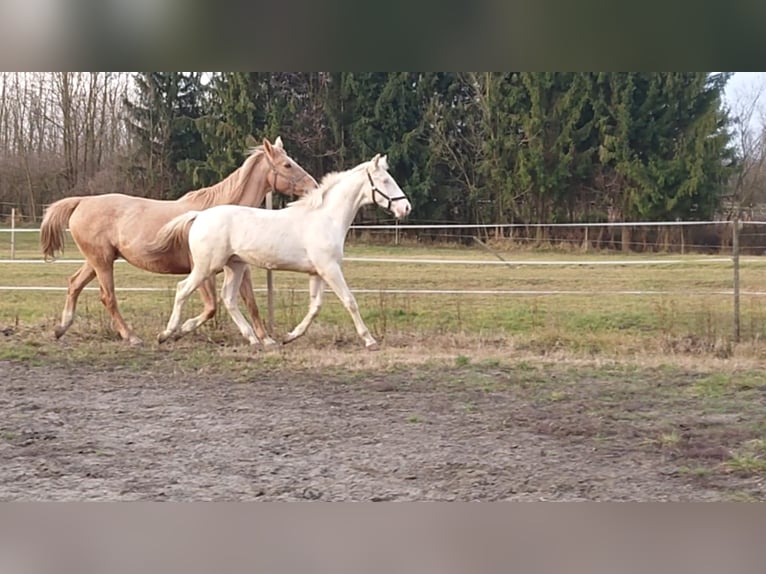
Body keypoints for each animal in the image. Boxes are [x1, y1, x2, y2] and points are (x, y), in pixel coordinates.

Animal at [38, 138, 316, 346]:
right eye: (287, 165)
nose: (313, 187)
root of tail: (81, 201)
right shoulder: (202, 270)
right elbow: (211, 306)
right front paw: (176, 332)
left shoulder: (238, 266)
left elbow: (250, 302)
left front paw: (266, 339)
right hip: (102, 261)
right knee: (108, 297)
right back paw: (132, 337)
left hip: (96, 260)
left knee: (74, 284)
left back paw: (60, 329)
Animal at [152, 154, 414, 352]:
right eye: (385, 180)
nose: (406, 208)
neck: (326, 218)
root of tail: (199, 216)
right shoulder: (329, 268)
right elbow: (350, 301)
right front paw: (370, 340)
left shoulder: (317, 272)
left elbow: (315, 306)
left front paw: (290, 336)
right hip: (207, 267)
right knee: (182, 290)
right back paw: (167, 334)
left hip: (235, 266)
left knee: (228, 298)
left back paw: (255, 340)